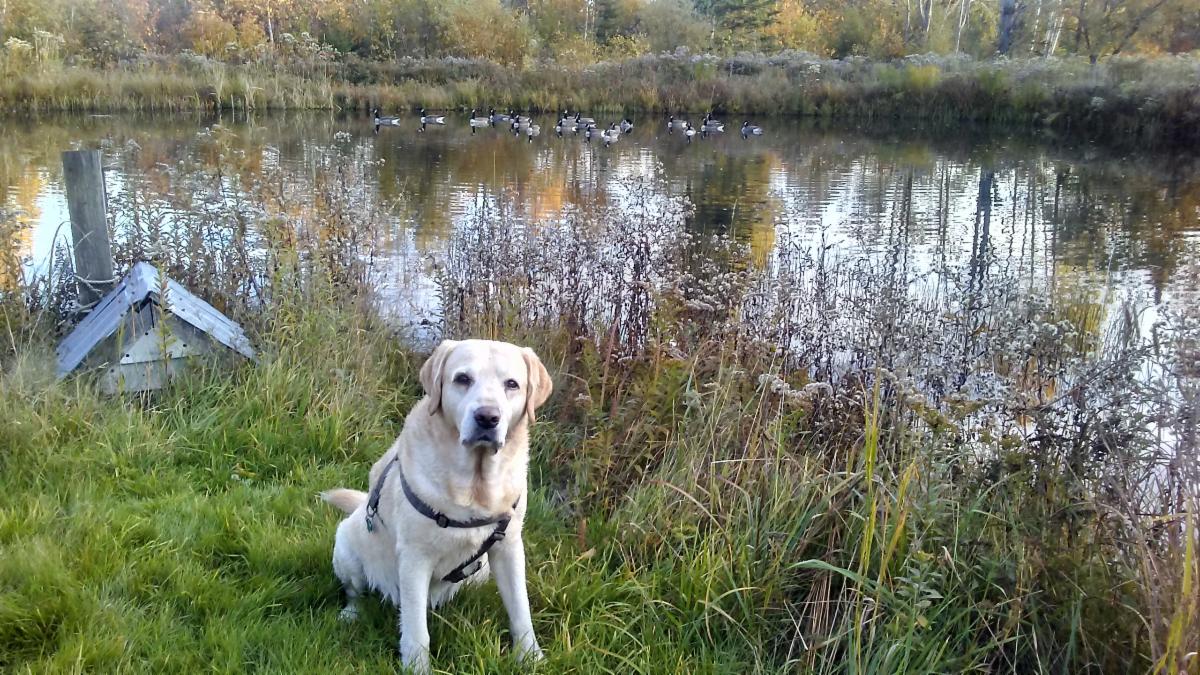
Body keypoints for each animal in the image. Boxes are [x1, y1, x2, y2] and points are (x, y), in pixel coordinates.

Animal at [321, 338, 549, 667]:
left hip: (481, 571)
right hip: (347, 547)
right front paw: (417, 667)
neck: (474, 486)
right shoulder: (415, 558)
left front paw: (530, 656)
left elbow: (520, 607)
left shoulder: (508, 547)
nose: (487, 417)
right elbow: (416, 629)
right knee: (356, 592)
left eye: (512, 384)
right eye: (463, 379)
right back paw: (351, 614)